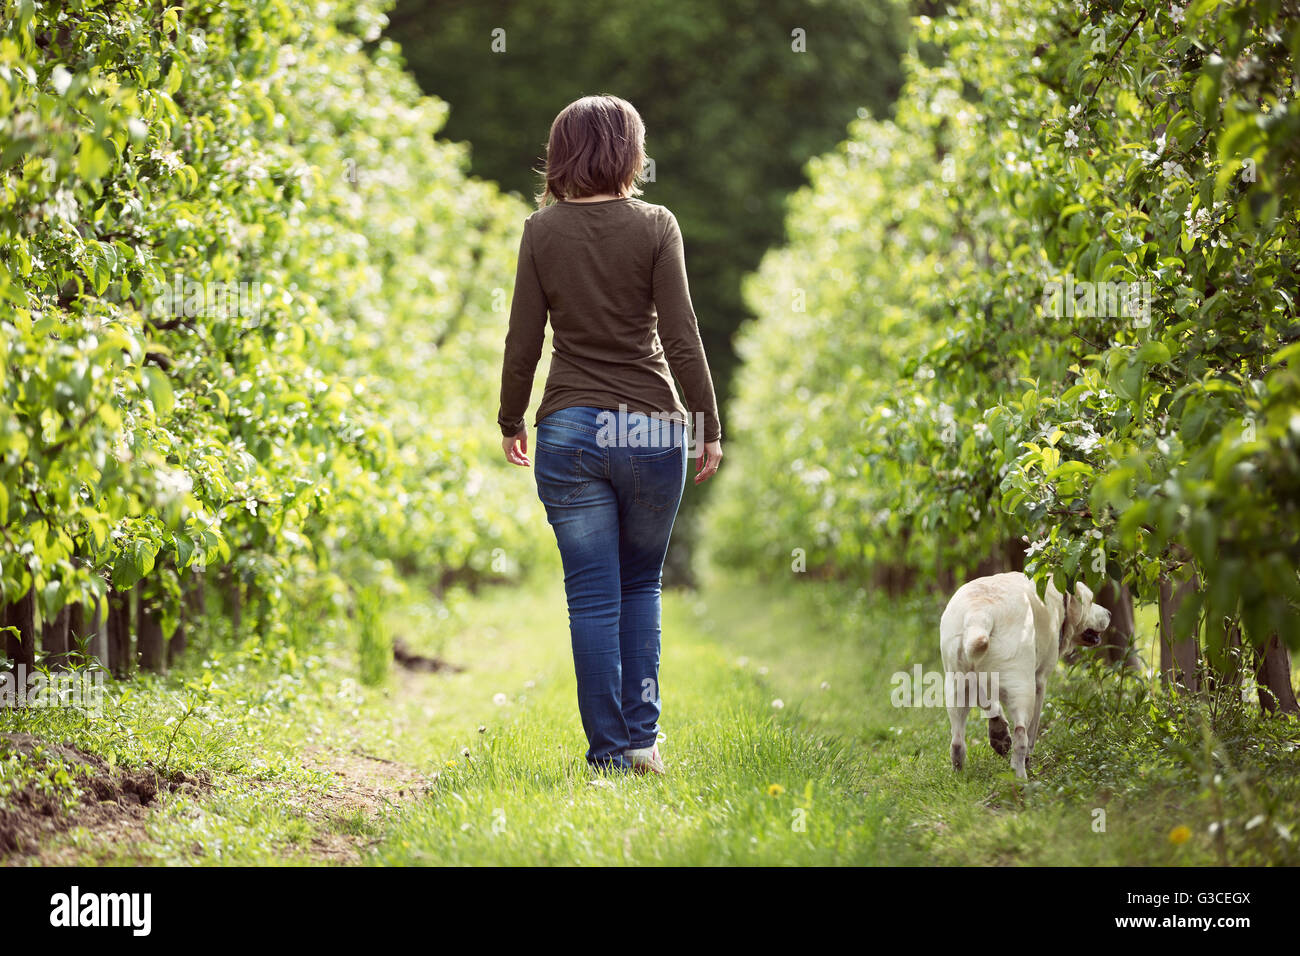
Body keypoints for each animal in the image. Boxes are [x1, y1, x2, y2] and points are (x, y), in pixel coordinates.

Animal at [941, 574, 1112, 780]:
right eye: (1091, 601)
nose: (1109, 613)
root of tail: (978, 613)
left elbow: (989, 704)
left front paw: (999, 733)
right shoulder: (1040, 681)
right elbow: (1032, 730)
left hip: (955, 685)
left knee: (957, 741)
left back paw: (961, 771)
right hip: (1024, 688)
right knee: (1021, 734)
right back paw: (1021, 774)